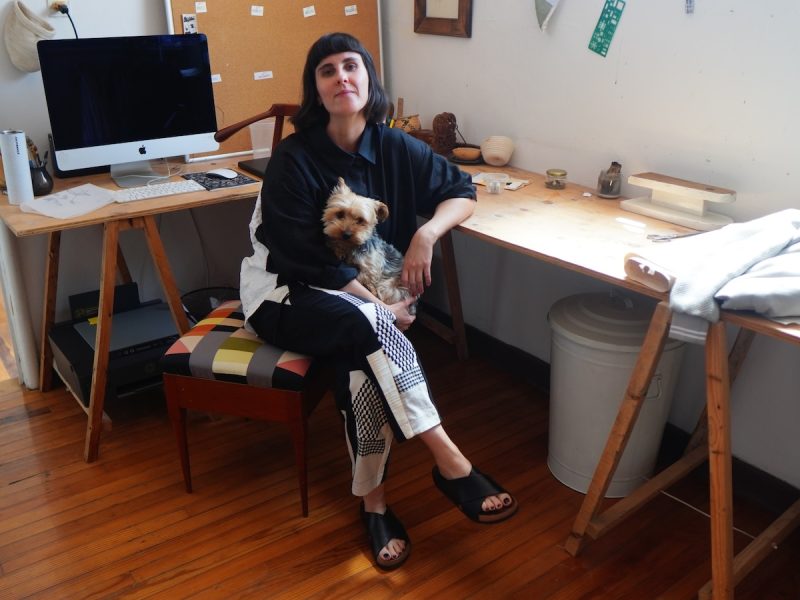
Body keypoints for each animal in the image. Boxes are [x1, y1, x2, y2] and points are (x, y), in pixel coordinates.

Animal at [322, 177, 414, 308]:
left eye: (360, 220)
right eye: (339, 214)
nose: (346, 234)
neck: (353, 246)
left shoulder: (372, 267)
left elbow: (363, 276)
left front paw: (370, 287)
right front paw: (337, 248)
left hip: (390, 288)